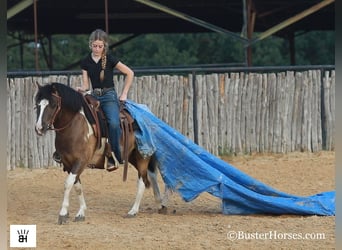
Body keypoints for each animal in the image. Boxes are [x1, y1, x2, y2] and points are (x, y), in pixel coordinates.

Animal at [34, 82, 168, 225]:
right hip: (132, 156)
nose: (39, 128)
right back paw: (160, 204)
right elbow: (77, 185)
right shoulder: (69, 163)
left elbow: (68, 183)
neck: (75, 125)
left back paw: (133, 211)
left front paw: (63, 214)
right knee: (151, 176)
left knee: (142, 181)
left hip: (142, 156)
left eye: (53, 104)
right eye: (37, 104)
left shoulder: (81, 161)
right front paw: (81, 212)